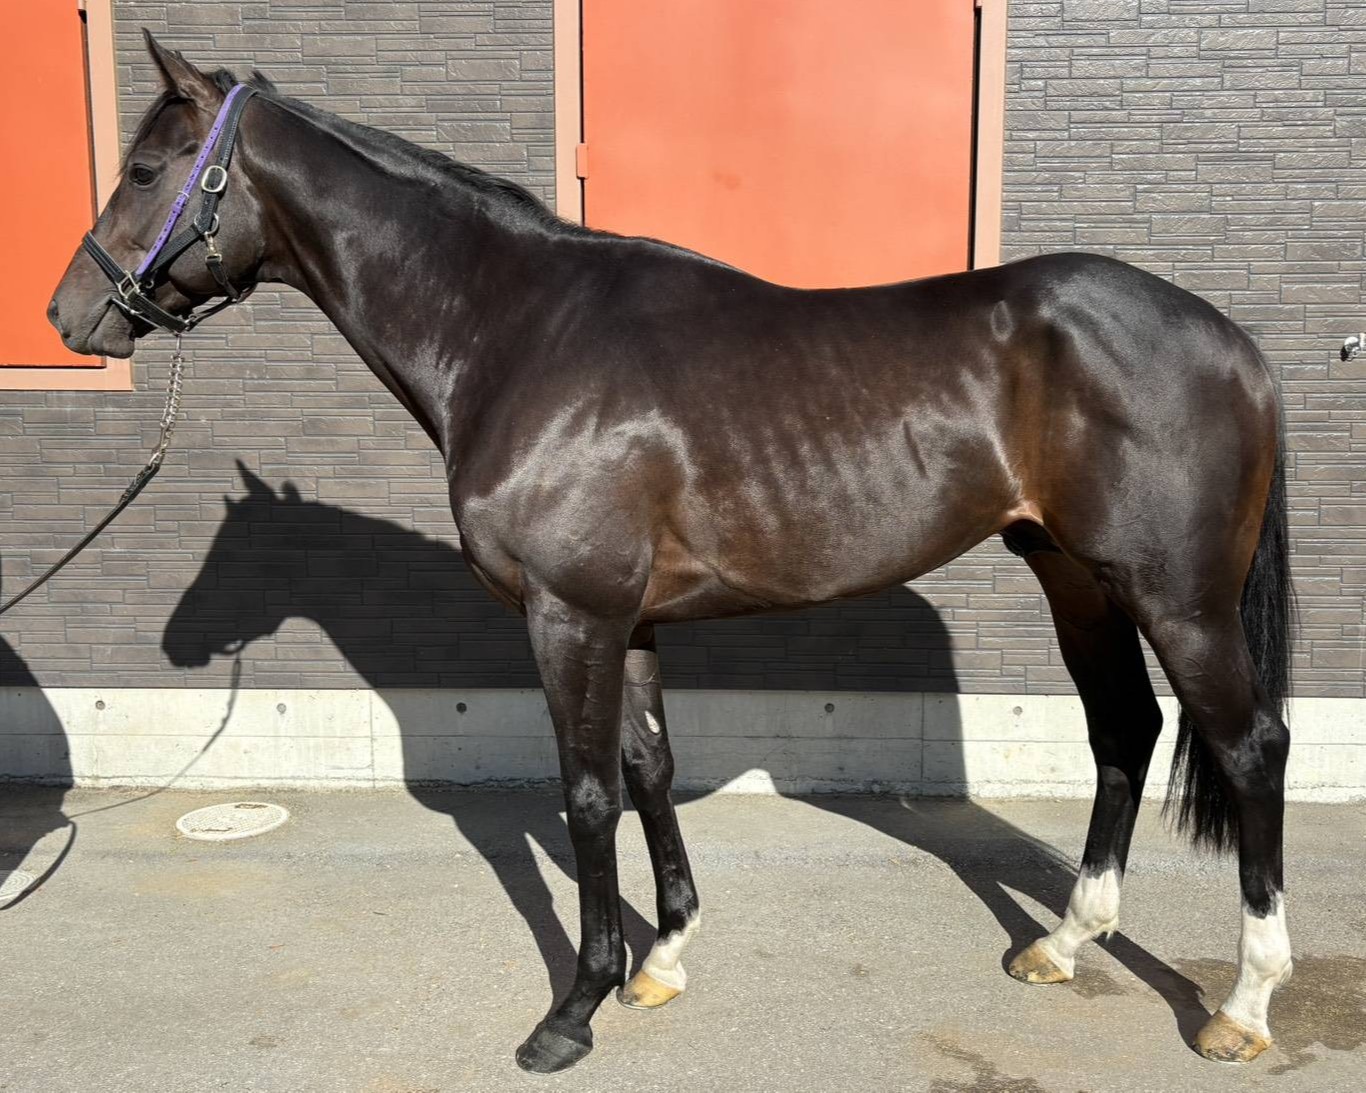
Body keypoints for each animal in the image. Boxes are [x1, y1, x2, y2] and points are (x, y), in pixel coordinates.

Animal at [48, 34, 1294, 1073]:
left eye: (147, 169)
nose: (69, 317)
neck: (519, 333)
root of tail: (1230, 340)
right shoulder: (631, 619)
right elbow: (648, 768)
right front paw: (660, 961)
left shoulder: (569, 615)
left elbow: (587, 793)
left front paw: (572, 1009)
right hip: (1073, 577)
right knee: (1123, 731)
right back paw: (1064, 943)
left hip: (1176, 597)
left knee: (1248, 746)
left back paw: (1241, 1003)